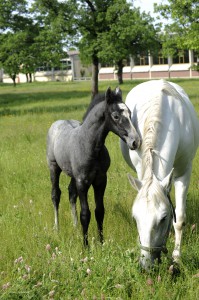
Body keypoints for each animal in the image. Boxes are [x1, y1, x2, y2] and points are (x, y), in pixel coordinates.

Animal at [47, 86, 140, 246]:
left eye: (130, 113)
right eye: (116, 116)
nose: (135, 142)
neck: (90, 145)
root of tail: (57, 123)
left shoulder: (100, 180)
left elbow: (99, 211)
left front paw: (101, 242)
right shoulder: (82, 182)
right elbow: (85, 214)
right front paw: (86, 246)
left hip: (73, 175)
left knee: (71, 194)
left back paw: (75, 226)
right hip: (54, 168)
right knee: (56, 195)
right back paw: (57, 228)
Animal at [119, 79, 199, 270]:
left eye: (163, 218)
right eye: (135, 217)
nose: (146, 265)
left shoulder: (183, 172)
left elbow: (179, 218)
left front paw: (176, 257)